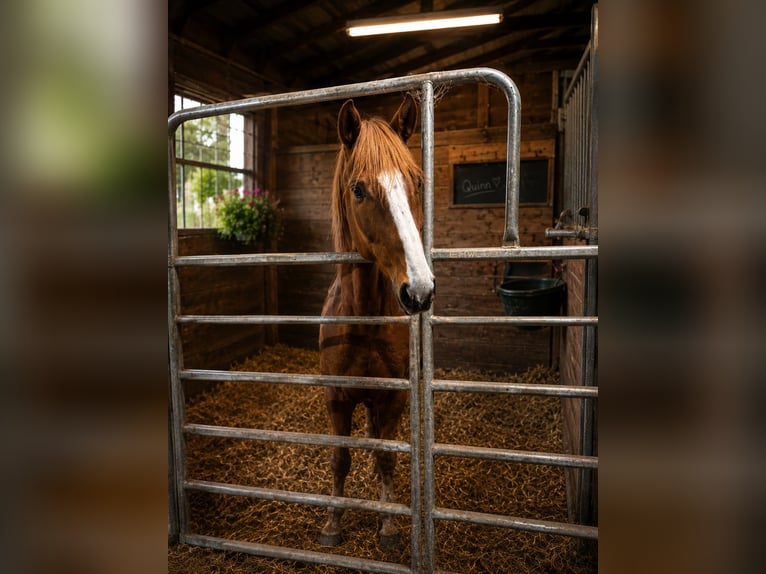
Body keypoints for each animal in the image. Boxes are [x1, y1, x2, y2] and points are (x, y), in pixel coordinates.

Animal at [318, 93, 435, 547]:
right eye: (358, 189)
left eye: (416, 182)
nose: (419, 290)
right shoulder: (337, 398)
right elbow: (339, 459)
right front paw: (333, 523)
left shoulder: (392, 399)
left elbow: (386, 458)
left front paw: (387, 523)